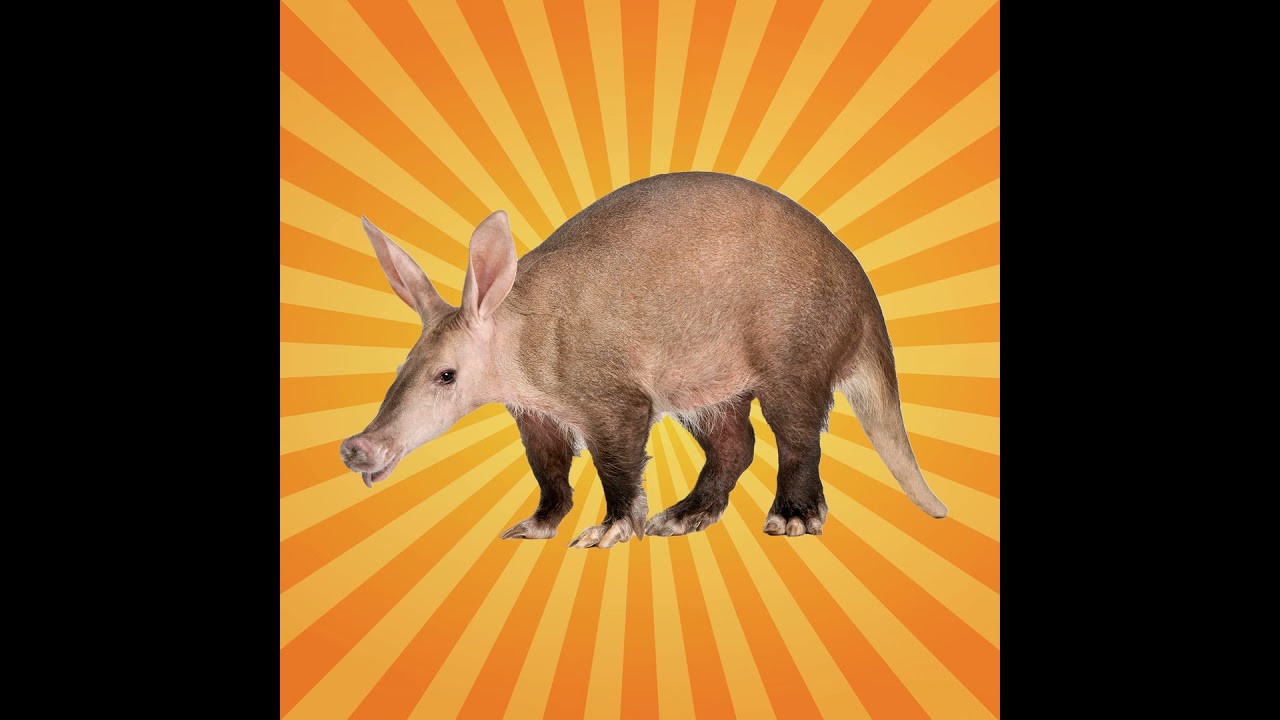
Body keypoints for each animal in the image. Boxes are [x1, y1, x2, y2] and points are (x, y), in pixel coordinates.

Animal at [339, 171, 948, 549]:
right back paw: (684, 516)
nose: (356, 448)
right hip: (706, 377)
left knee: (797, 430)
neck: (516, 329)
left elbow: (617, 457)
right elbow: (547, 464)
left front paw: (607, 531)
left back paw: (792, 518)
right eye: (402, 368)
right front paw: (536, 525)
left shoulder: (606, 391)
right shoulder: (534, 409)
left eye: (446, 376)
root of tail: (861, 292)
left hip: (795, 348)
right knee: (735, 439)